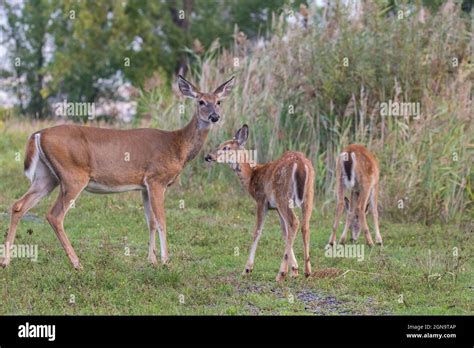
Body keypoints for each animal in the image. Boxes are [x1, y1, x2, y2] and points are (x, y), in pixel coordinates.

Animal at [0, 75, 235, 268]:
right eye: (200, 101)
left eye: (219, 101)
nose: (215, 116)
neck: (177, 145)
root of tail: (39, 134)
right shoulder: (157, 180)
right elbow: (162, 221)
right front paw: (166, 262)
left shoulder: (144, 186)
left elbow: (150, 221)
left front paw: (151, 261)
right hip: (73, 176)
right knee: (54, 215)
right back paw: (77, 263)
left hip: (46, 176)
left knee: (19, 205)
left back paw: (6, 261)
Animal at [205, 125, 312, 282]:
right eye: (219, 145)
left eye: (226, 147)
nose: (208, 156)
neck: (252, 176)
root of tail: (300, 164)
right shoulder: (276, 208)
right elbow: (284, 232)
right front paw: (294, 270)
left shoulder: (262, 201)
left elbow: (257, 231)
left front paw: (247, 269)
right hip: (309, 195)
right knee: (304, 226)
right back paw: (307, 271)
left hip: (282, 196)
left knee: (295, 222)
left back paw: (281, 274)